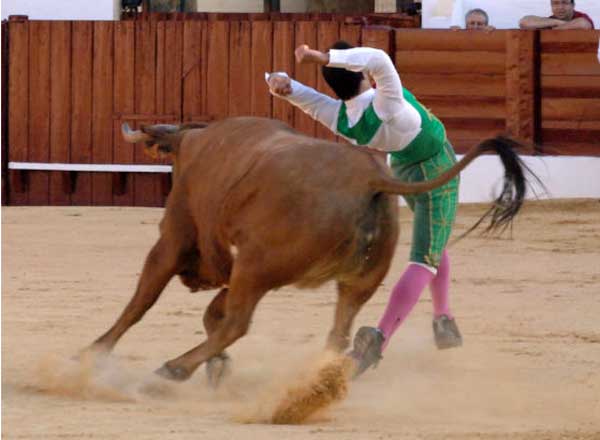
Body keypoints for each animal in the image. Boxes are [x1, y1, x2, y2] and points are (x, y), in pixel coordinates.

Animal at [90, 115, 528, 384]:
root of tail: (370, 178)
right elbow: (209, 313)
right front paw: (219, 366)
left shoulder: (172, 243)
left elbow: (140, 303)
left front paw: (91, 353)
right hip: (355, 279)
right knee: (338, 332)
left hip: (255, 267)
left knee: (238, 323)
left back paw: (172, 369)